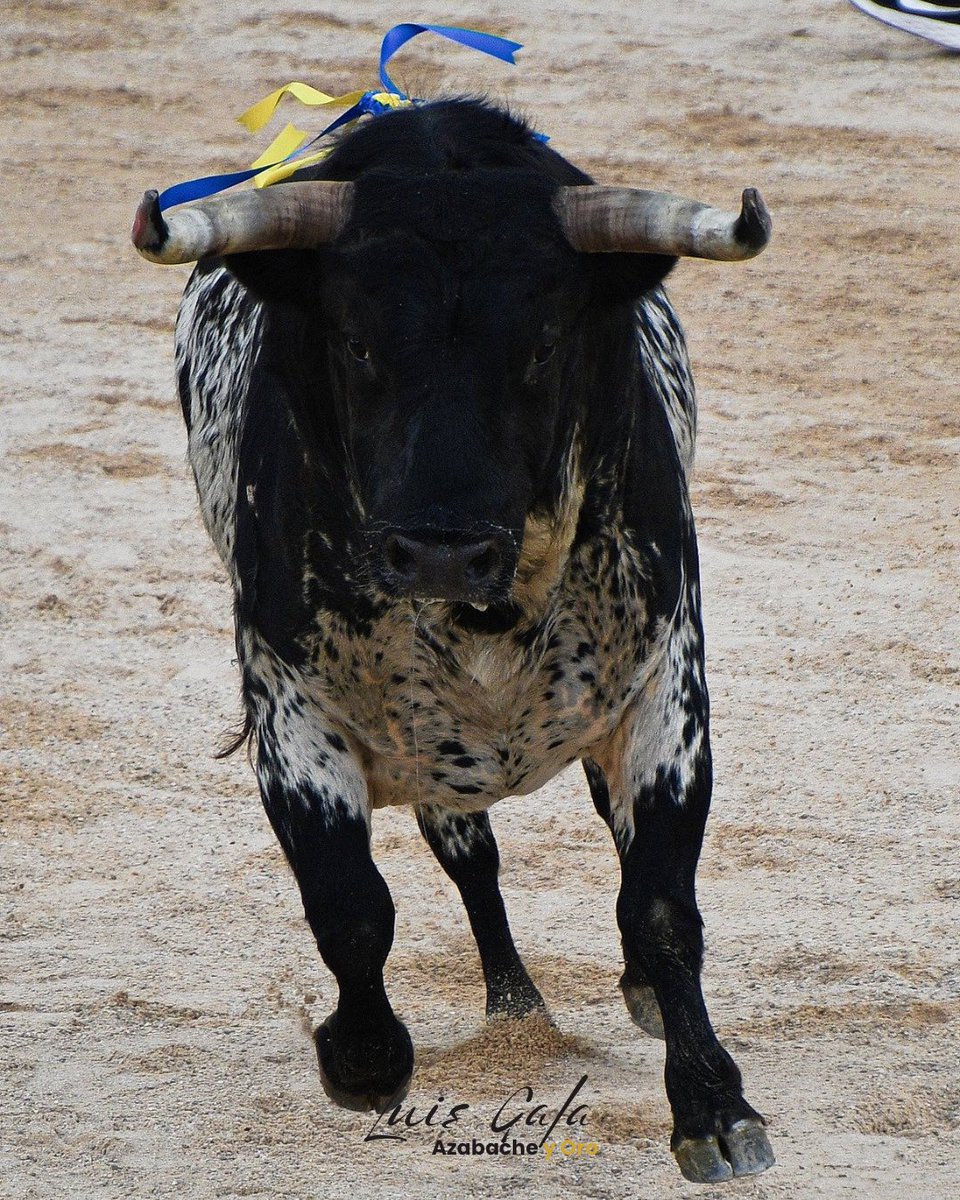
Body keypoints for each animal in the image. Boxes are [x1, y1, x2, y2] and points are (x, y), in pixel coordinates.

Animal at [135, 96, 777, 1180]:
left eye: (546, 343)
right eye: (355, 343)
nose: (439, 551)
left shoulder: (666, 694)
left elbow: (658, 907)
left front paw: (713, 1106)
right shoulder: (292, 714)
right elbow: (352, 905)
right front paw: (363, 1059)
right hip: (431, 757)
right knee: (468, 858)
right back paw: (514, 1007)